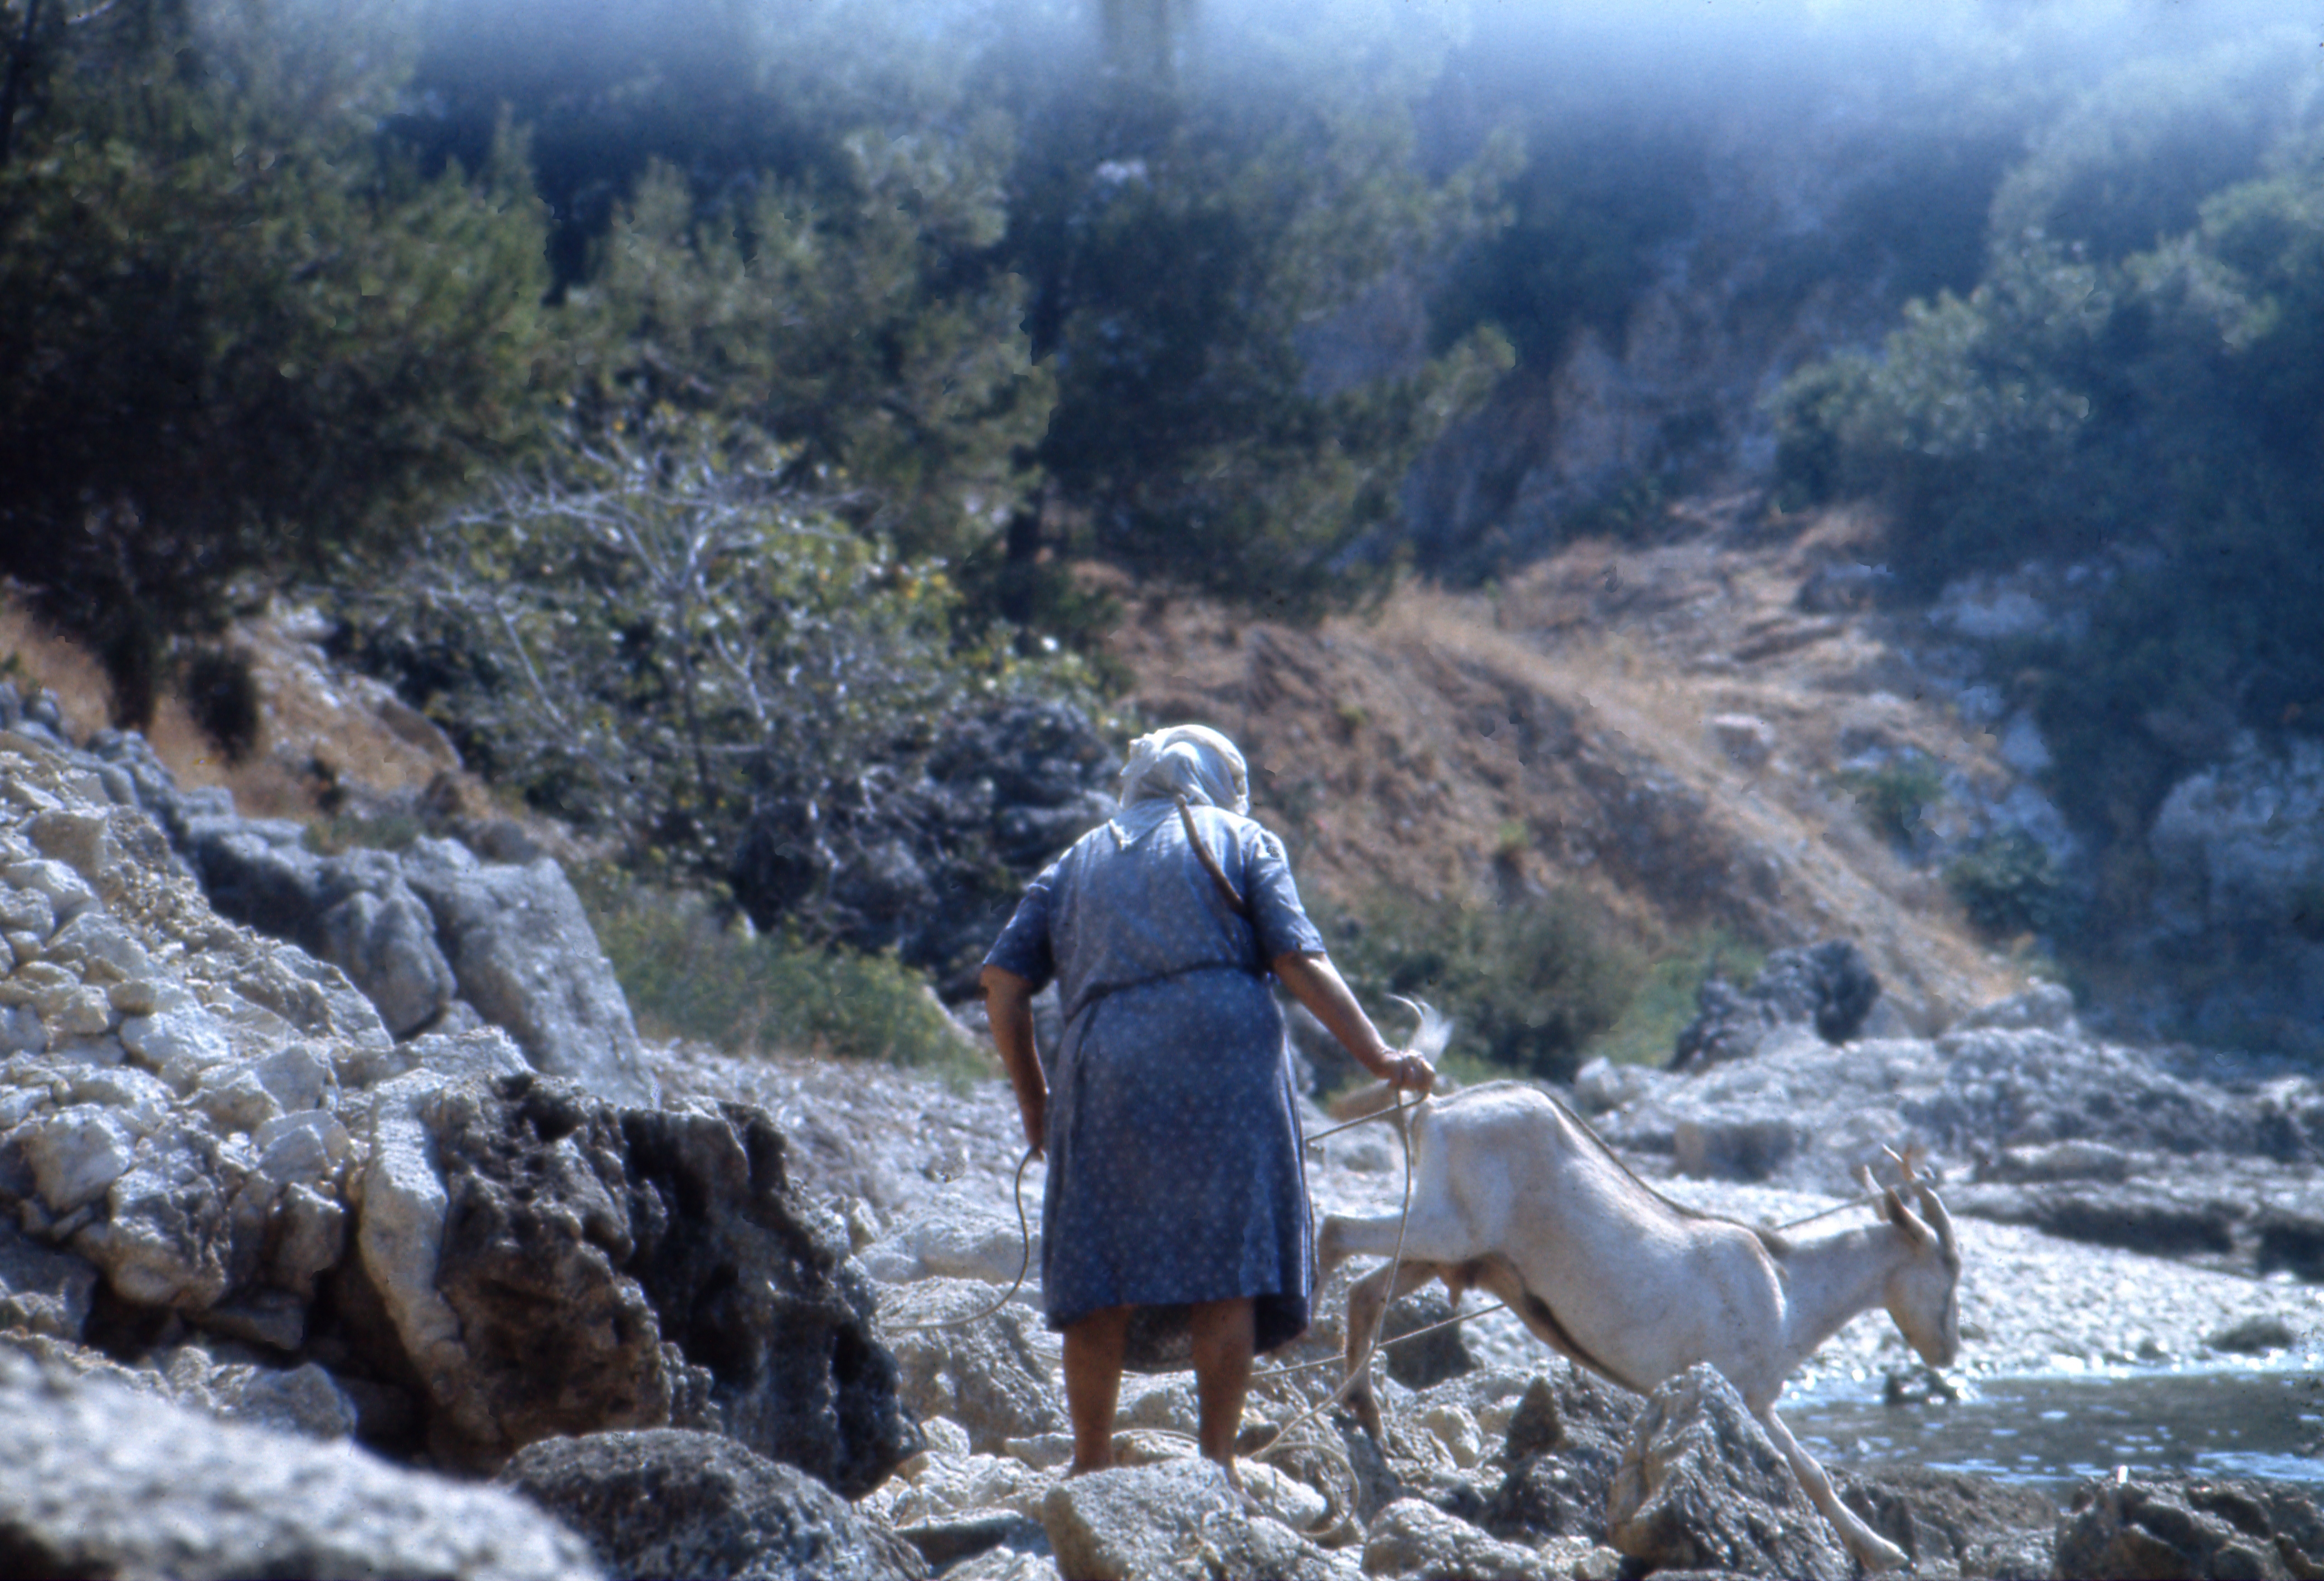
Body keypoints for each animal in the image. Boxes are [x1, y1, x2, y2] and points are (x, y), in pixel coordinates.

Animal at [1316, 1013, 1960, 1574]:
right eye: (1951, 1266)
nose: (1948, 1349)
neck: (1788, 1291)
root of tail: (1434, 1112)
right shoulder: (1745, 1391)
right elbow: (1810, 1472)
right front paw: (1885, 1550)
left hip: (1444, 1251)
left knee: (1366, 1290)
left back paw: (1364, 1411)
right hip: (1446, 1226)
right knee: (1334, 1229)